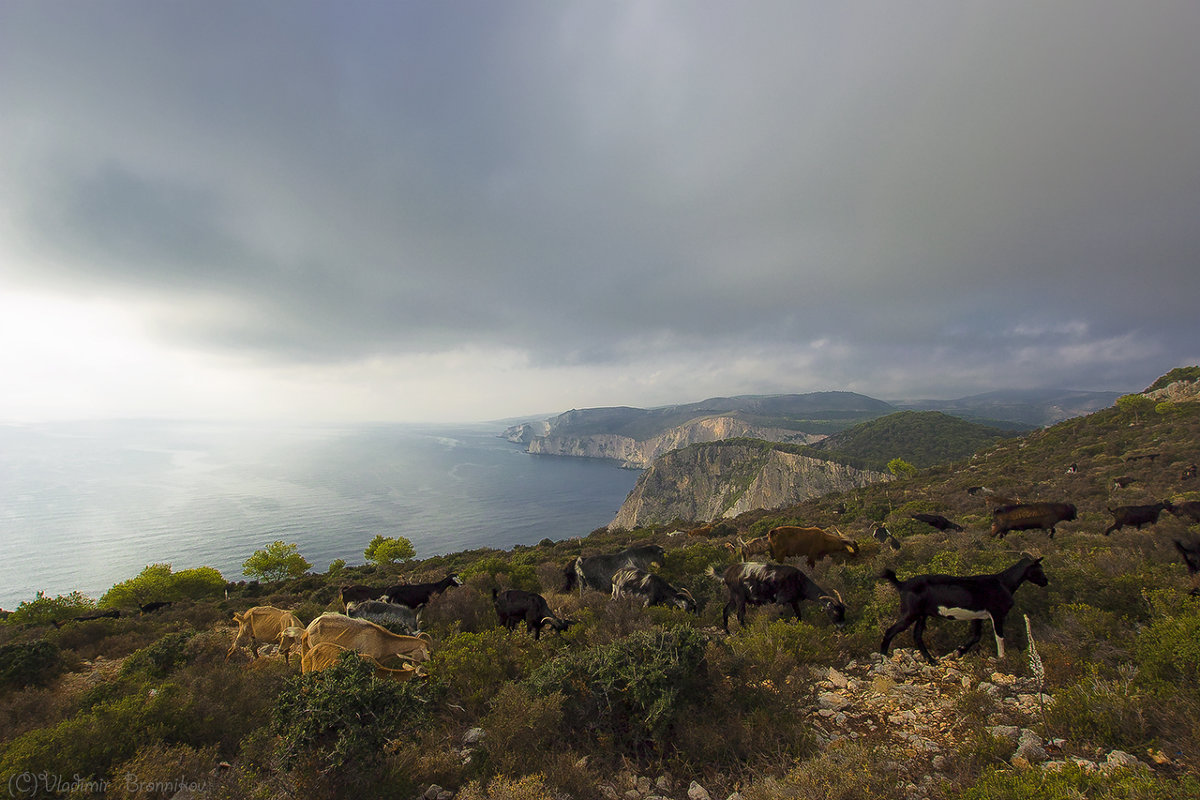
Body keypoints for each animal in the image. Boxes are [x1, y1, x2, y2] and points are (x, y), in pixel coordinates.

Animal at [878, 556, 1046, 662]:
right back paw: (883, 658)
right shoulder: (997, 613)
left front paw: (959, 651)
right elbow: (999, 637)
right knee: (890, 631)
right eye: (1038, 569)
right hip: (910, 612)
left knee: (917, 636)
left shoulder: (977, 616)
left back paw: (931, 660)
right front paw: (1001, 659)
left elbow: (976, 636)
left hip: (921, 614)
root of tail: (902, 584)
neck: (1004, 583)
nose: (1046, 581)